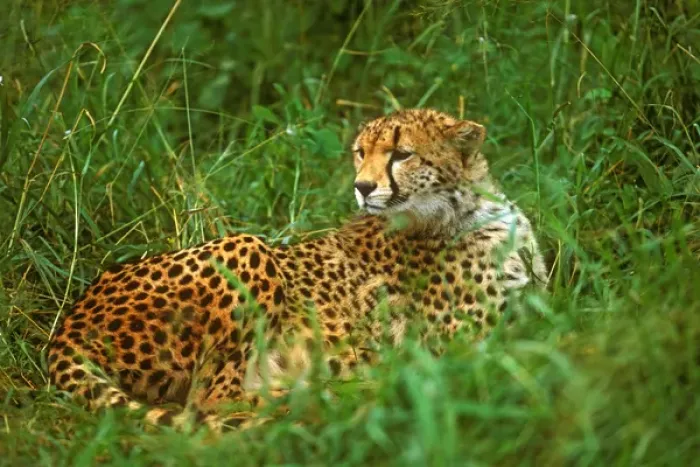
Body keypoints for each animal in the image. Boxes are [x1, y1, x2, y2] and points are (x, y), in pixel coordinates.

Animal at [47, 108, 547, 430]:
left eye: (402, 154)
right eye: (360, 152)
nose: (363, 187)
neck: (465, 208)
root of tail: (69, 320)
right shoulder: (467, 345)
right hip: (248, 248)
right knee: (209, 401)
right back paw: (328, 394)